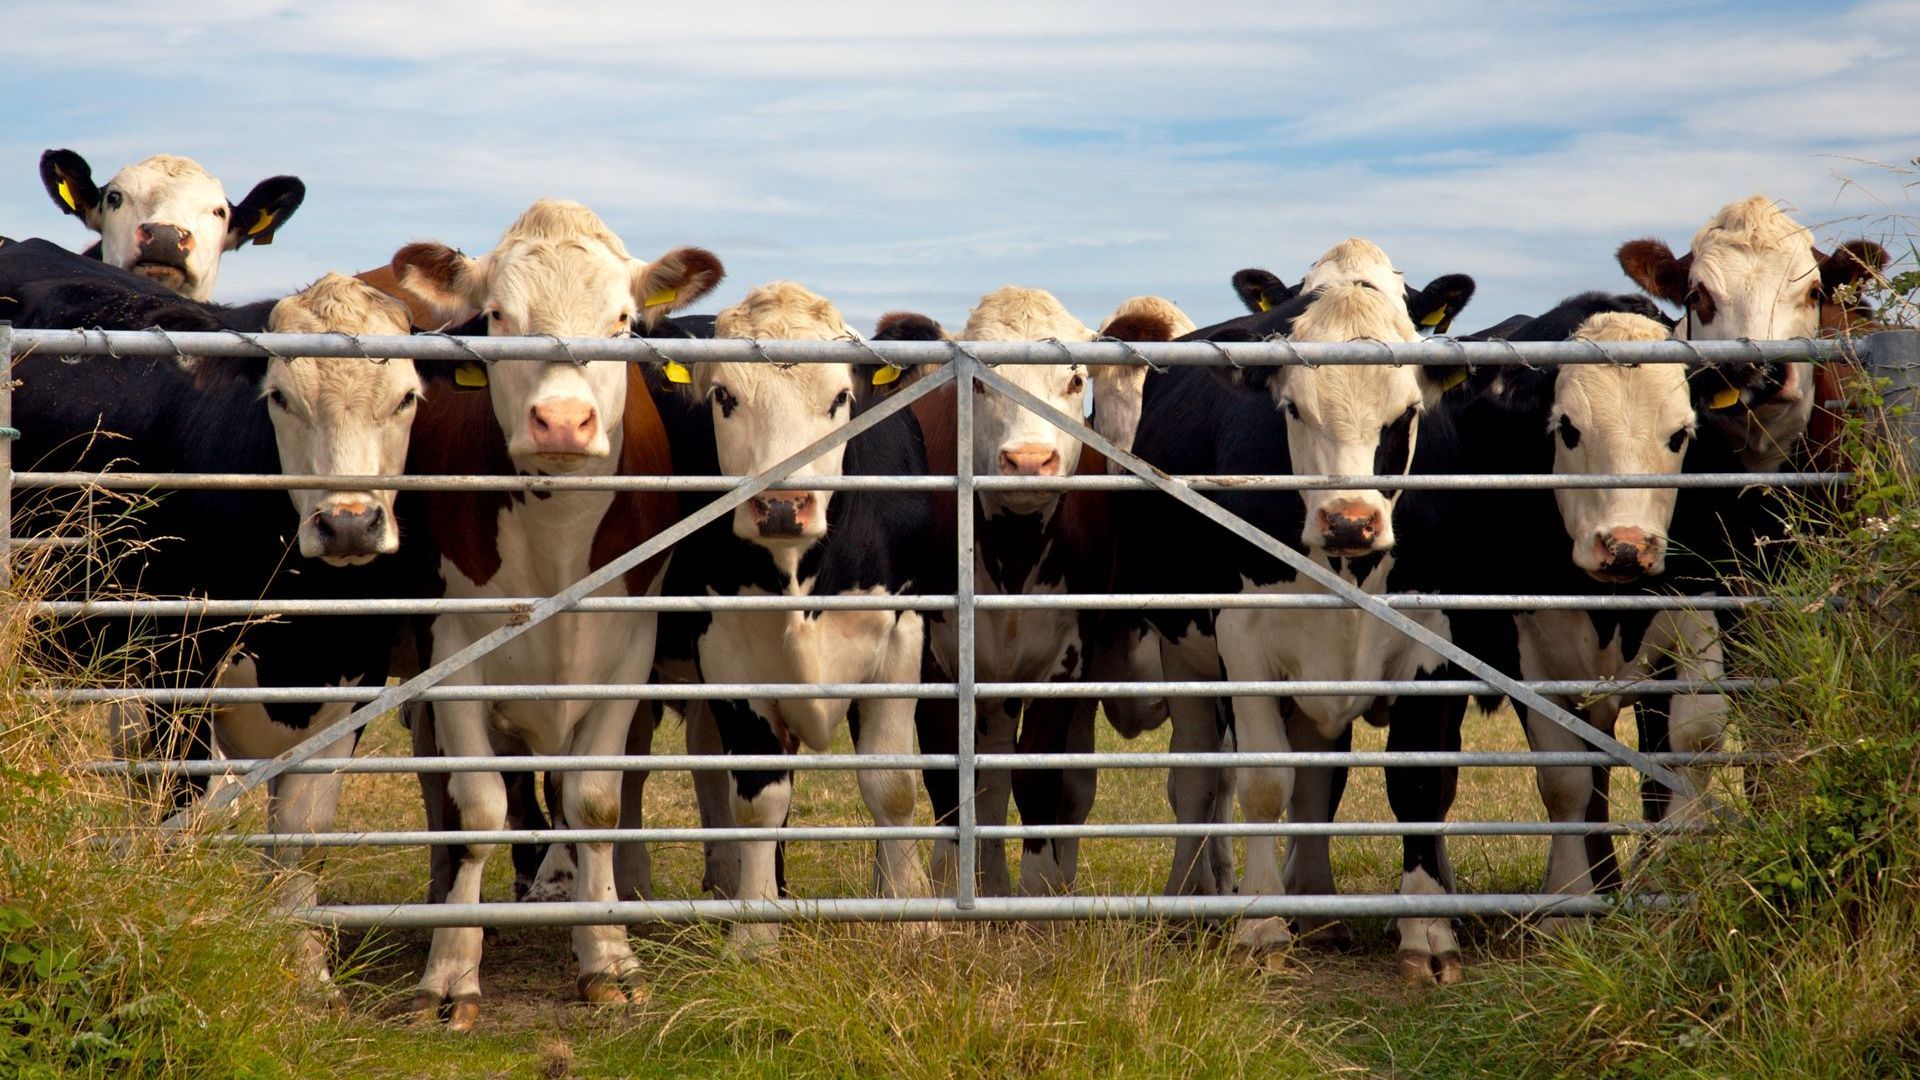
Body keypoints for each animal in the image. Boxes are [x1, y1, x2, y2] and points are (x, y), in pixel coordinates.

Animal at [2, 239, 424, 980]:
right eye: (280, 397)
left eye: (406, 397)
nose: (348, 524)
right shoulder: (178, 674)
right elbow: (185, 815)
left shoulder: (353, 682)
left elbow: (301, 837)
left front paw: (307, 973)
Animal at [380, 199, 721, 1022]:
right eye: (500, 317)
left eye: (623, 320)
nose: (562, 422)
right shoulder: (453, 659)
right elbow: (476, 809)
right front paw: (451, 972)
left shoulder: (626, 654)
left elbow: (594, 802)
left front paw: (609, 958)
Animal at [648, 278, 933, 949]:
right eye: (724, 396)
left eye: (841, 398)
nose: (781, 506)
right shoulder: (727, 654)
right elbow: (758, 796)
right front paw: (754, 934)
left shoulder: (902, 634)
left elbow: (892, 784)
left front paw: (909, 913)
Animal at [1113, 239, 1482, 980]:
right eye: (1292, 409)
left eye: (1407, 413)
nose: (1350, 522)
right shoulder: (1244, 640)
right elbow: (1262, 782)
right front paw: (1260, 926)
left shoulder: (1432, 642)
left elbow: (1419, 784)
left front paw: (1427, 929)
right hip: (1187, 659)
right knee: (1197, 782)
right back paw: (1190, 902)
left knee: (1320, 780)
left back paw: (1321, 907)